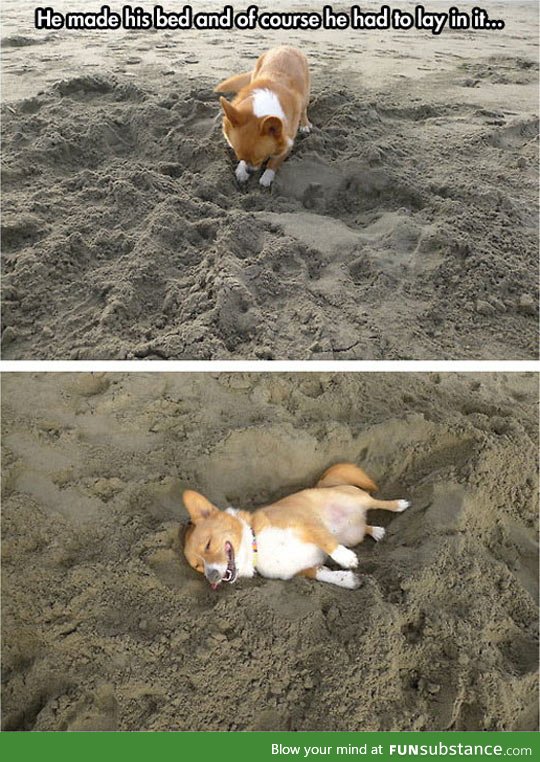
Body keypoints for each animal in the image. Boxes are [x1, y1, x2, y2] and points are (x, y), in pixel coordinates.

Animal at [181, 464, 410, 588]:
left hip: (358, 499)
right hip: (353, 535)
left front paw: (346, 559)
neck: (257, 547)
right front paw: (348, 580)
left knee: (377, 502)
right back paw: (377, 531)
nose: (212, 577)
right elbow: (327, 575)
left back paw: (400, 504)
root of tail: (322, 484)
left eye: (209, 544)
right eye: (198, 567)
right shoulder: (307, 569)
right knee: (365, 528)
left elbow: (328, 542)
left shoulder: (306, 523)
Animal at [214, 46, 310, 187]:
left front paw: (266, 176)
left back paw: (305, 124)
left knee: (304, 109)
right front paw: (241, 170)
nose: (249, 170)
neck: (262, 109)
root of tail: (285, 46)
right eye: (239, 156)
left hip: (306, 94)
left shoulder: (287, 142)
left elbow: (274, 161)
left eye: (260, 159)